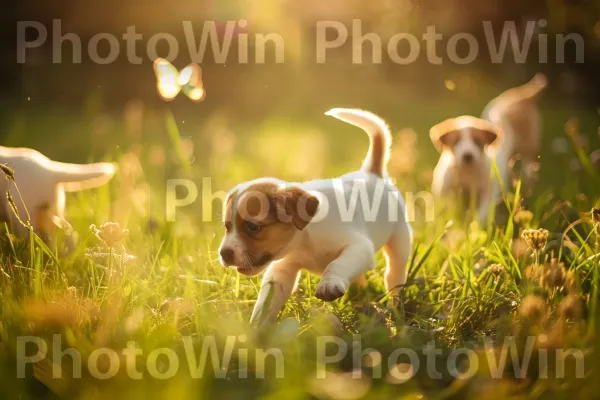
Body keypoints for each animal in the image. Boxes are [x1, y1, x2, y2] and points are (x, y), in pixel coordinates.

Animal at [219, 107, 412, 324]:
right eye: (227, 227)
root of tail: (372, 172)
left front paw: (329, 284)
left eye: (253, 227)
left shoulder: (359, 246)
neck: (305, 238)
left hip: (399, 243)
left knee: (394, 274)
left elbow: (337, 263)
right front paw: (256, 326)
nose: (224, 253)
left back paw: (394, 307)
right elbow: (267, 301)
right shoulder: (282, 270)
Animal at [428, 72, 548, 222]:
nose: (467, 155)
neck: (467, 172)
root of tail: (519, 97)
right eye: (456, 141)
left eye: (477, 141)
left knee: (529, 165)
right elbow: (449, 210)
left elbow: (482, 214)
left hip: (529, 145)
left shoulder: (488, 192)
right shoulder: (445, 191)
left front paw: (475, 225)